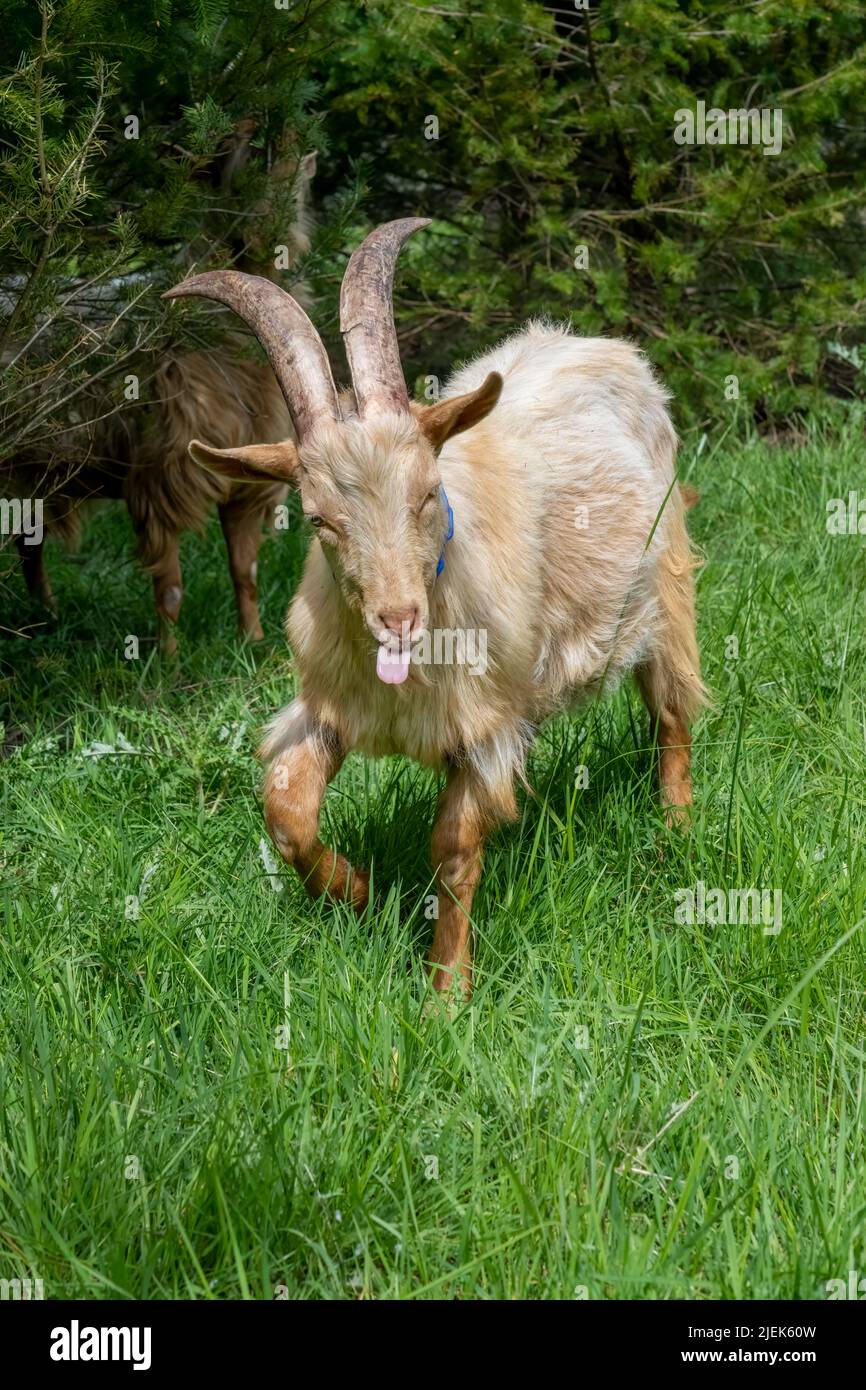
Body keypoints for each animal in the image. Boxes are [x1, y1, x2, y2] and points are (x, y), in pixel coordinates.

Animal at [165, 219, 705, 997]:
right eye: (319, 518)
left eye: (426, 491)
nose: (398, 620)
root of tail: (601, 347)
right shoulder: (328, 706)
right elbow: (286, 814)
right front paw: (357, 894)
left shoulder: (483, 728)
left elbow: (452, 852)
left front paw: (447, 991)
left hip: (662, 587)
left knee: (671, 710)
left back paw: (677, 827)